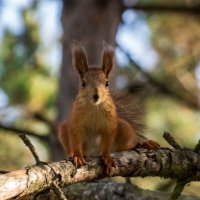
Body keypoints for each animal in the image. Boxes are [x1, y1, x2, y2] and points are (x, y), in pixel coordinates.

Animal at [58, 42, 159, 175]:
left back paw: (142, 144)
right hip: (63, 130)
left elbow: (108, 139)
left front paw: (106, 157)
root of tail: (93, 152)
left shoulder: (110, 123)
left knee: (124, 147)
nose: (96, 96)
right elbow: (75, 136)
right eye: (83, 83)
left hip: (124, 127)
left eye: (107, 83)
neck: (95, 107)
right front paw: (77, 155)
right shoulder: (76, 121)